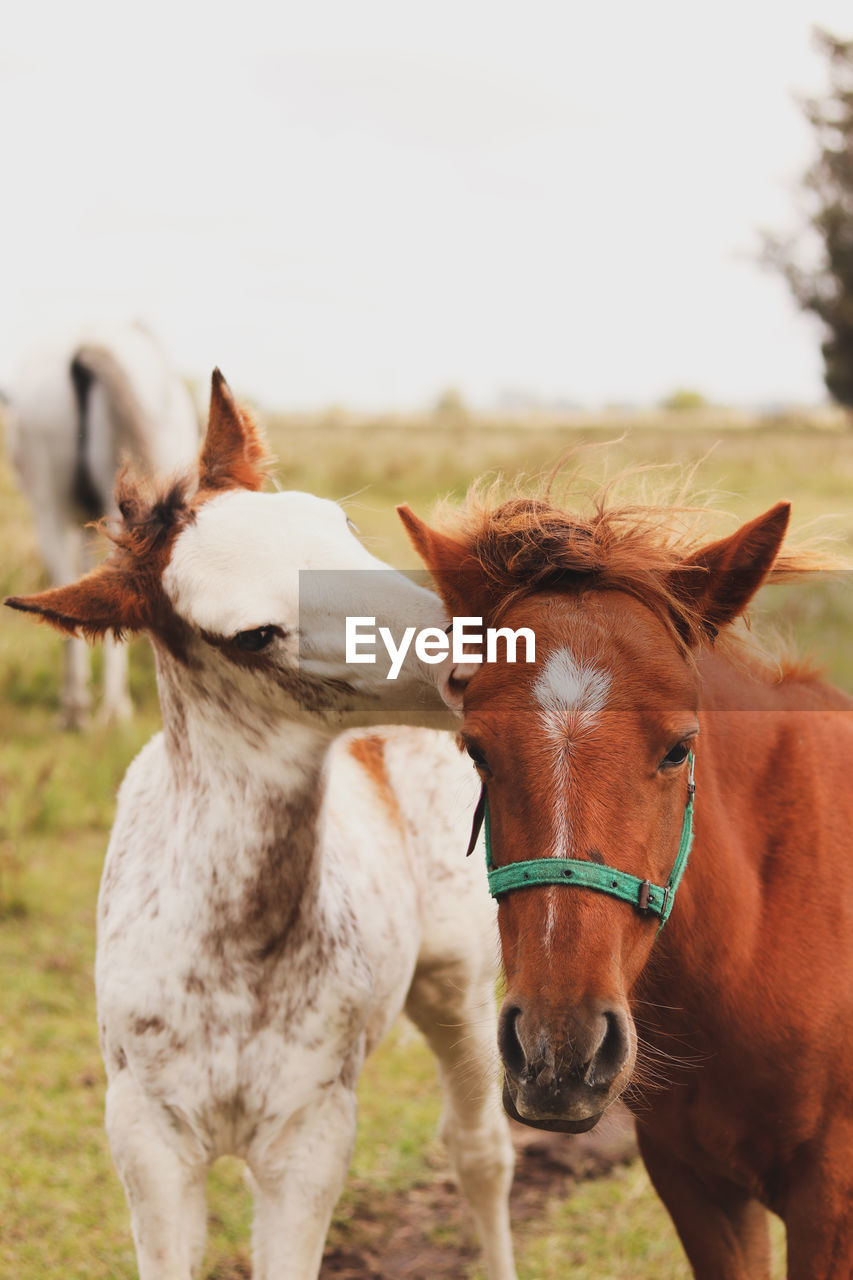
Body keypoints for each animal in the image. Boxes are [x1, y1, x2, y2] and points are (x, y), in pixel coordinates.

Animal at [3, 373, 514, 1280]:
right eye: (252, 635)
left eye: (340, 525)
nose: (479, 655)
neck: (236, 960)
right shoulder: (148, 1145)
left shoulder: (310, 1139)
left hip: (454, 980)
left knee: (479, 1150)